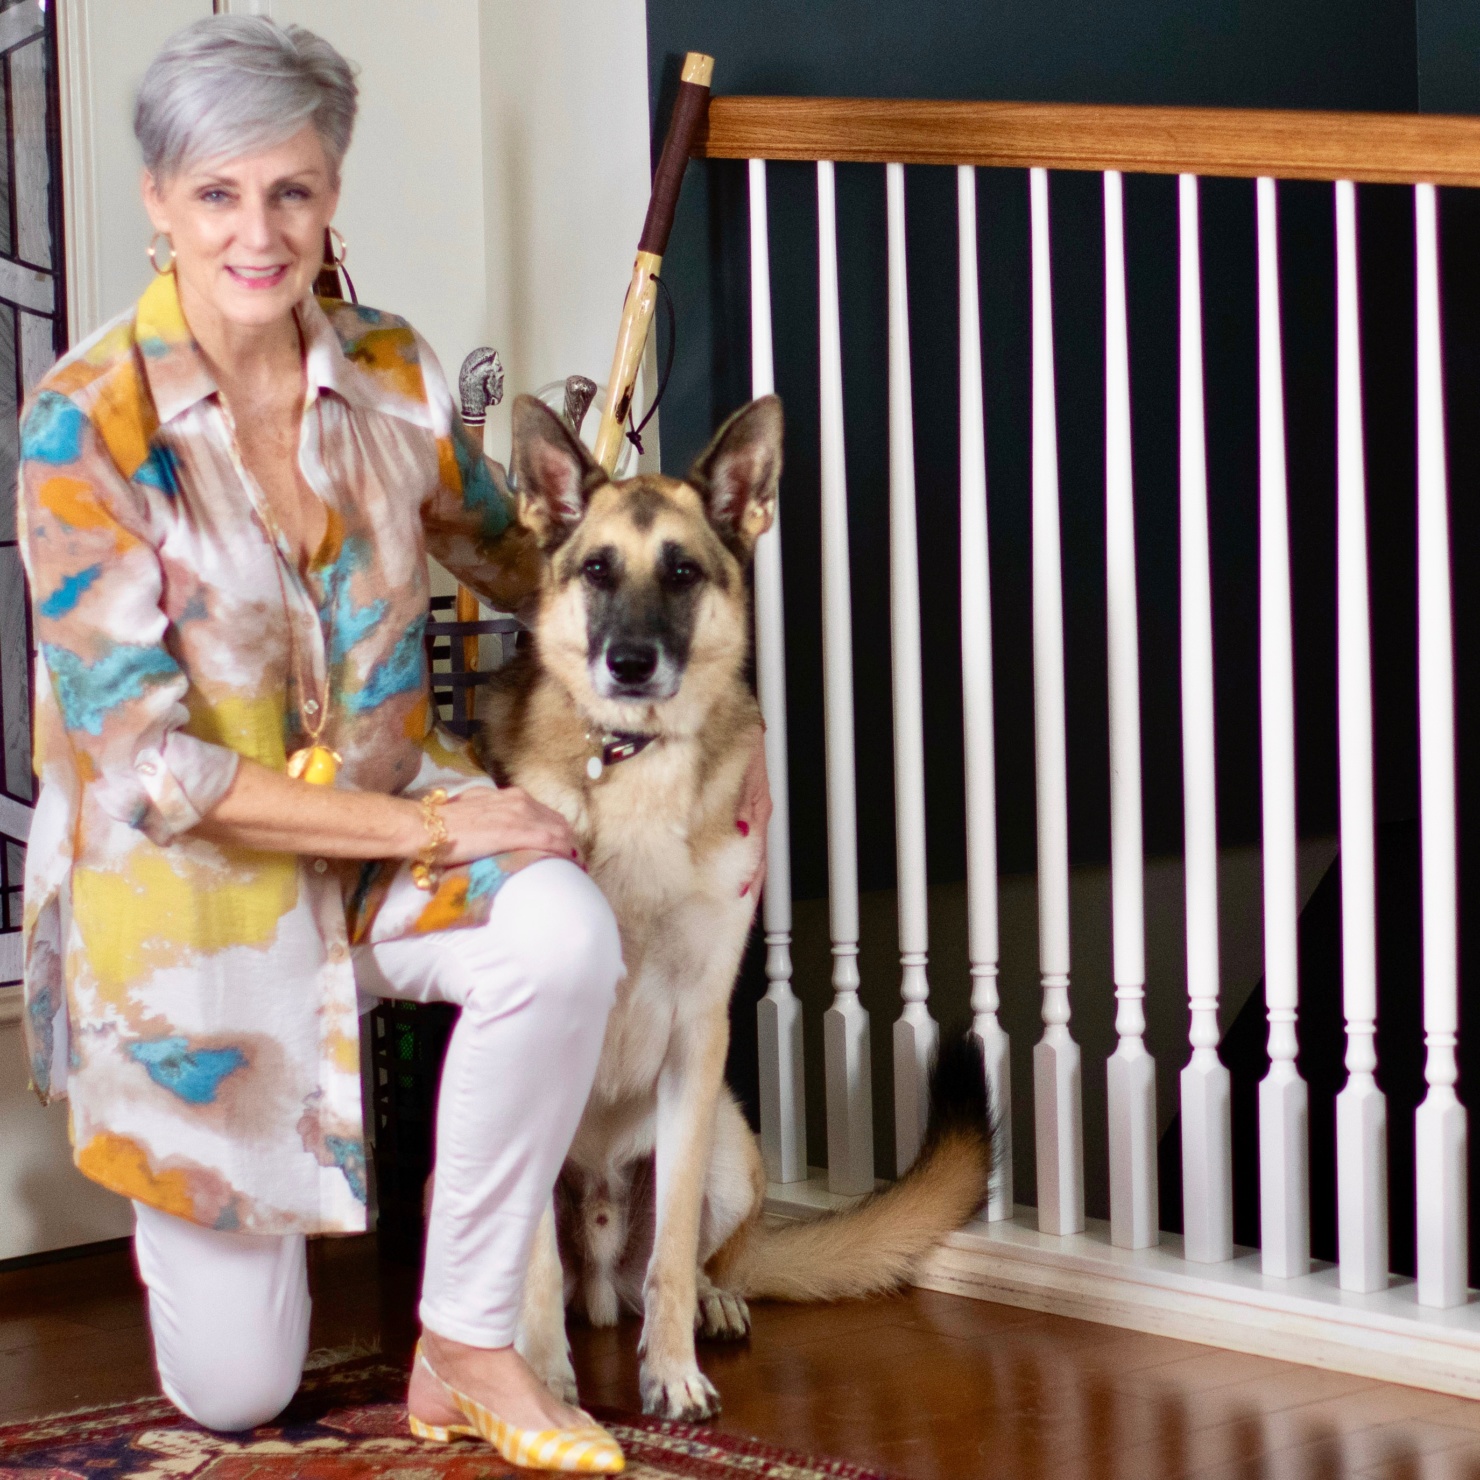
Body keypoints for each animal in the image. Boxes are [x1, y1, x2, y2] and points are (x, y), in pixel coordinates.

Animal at [479, 393, 994, 1420]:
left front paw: (672, 1373)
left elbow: (676, 1251)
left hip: (726, 1143)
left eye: (682, 572)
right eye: (598, 570)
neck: (632, 768)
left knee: (698, 1262)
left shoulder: (698, 1032)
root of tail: (604, 1272)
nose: (630, 665)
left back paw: (709, 1307)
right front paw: (547, 1385)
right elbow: (537, 1274)